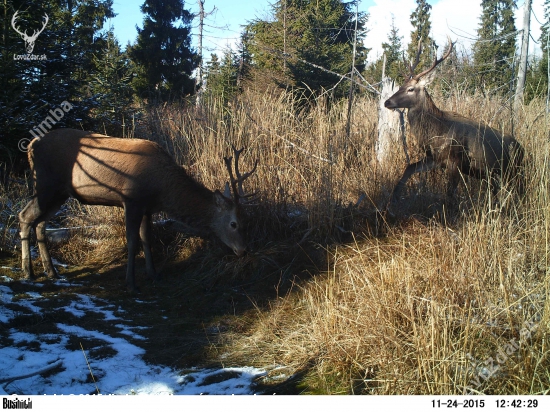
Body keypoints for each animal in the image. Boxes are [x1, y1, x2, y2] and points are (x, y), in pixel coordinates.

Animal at [18, 129, 258, 292]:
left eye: (248, 220)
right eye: (233, 223)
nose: (244, 250)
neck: (161, 189)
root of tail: (32, 145)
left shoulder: (147, 207)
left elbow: (146, 238)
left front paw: (153, 274)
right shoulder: (131, 200)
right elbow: (132, 241)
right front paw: (131, 282)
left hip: (60, 193)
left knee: (40, 223)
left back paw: (51, 271)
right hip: (45, 184)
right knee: (25, 216)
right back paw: (28, 272)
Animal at [386, 39, 524, 206]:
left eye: (411, 89)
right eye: (400, 86)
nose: (387, 102)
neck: (437, 131)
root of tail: (522, 148)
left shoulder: (455, 160)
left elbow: (450, 193)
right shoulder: (436, 158)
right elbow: (410, 168)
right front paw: (393, 198)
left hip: (513, 169)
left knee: (520, 190)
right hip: (492, 173)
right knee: (495, 190)